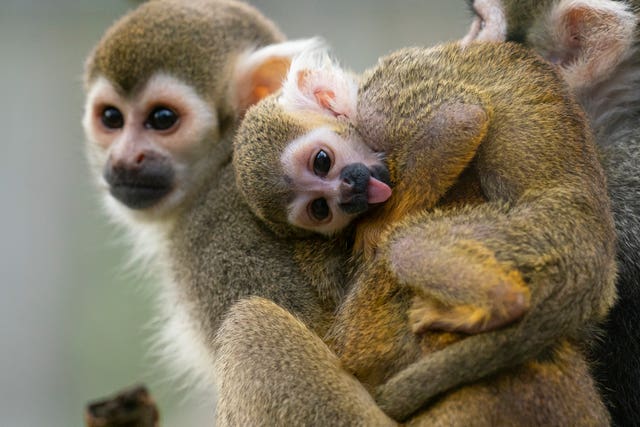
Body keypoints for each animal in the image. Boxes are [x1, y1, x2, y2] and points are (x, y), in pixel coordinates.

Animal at [232, 41, 616, 424]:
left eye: (322, 161)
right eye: (320, 209)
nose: (349, 193)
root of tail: (597, 252)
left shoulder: (379, 108)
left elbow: (459, 119)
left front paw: (376, 228)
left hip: (538, 231)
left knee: (405, 245)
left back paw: (501, 301)